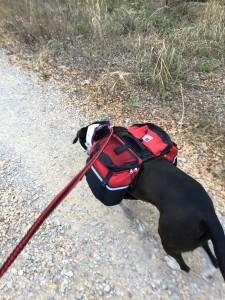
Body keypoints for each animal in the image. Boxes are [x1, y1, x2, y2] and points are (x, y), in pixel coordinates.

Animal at [74, 120, 225, 280]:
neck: (102, 134)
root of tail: (207, 213)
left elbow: (121, 204)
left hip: (170, 237)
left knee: (185, 266)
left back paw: (173, 264)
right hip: (197, 238)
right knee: (212, 260)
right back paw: (208, 272)